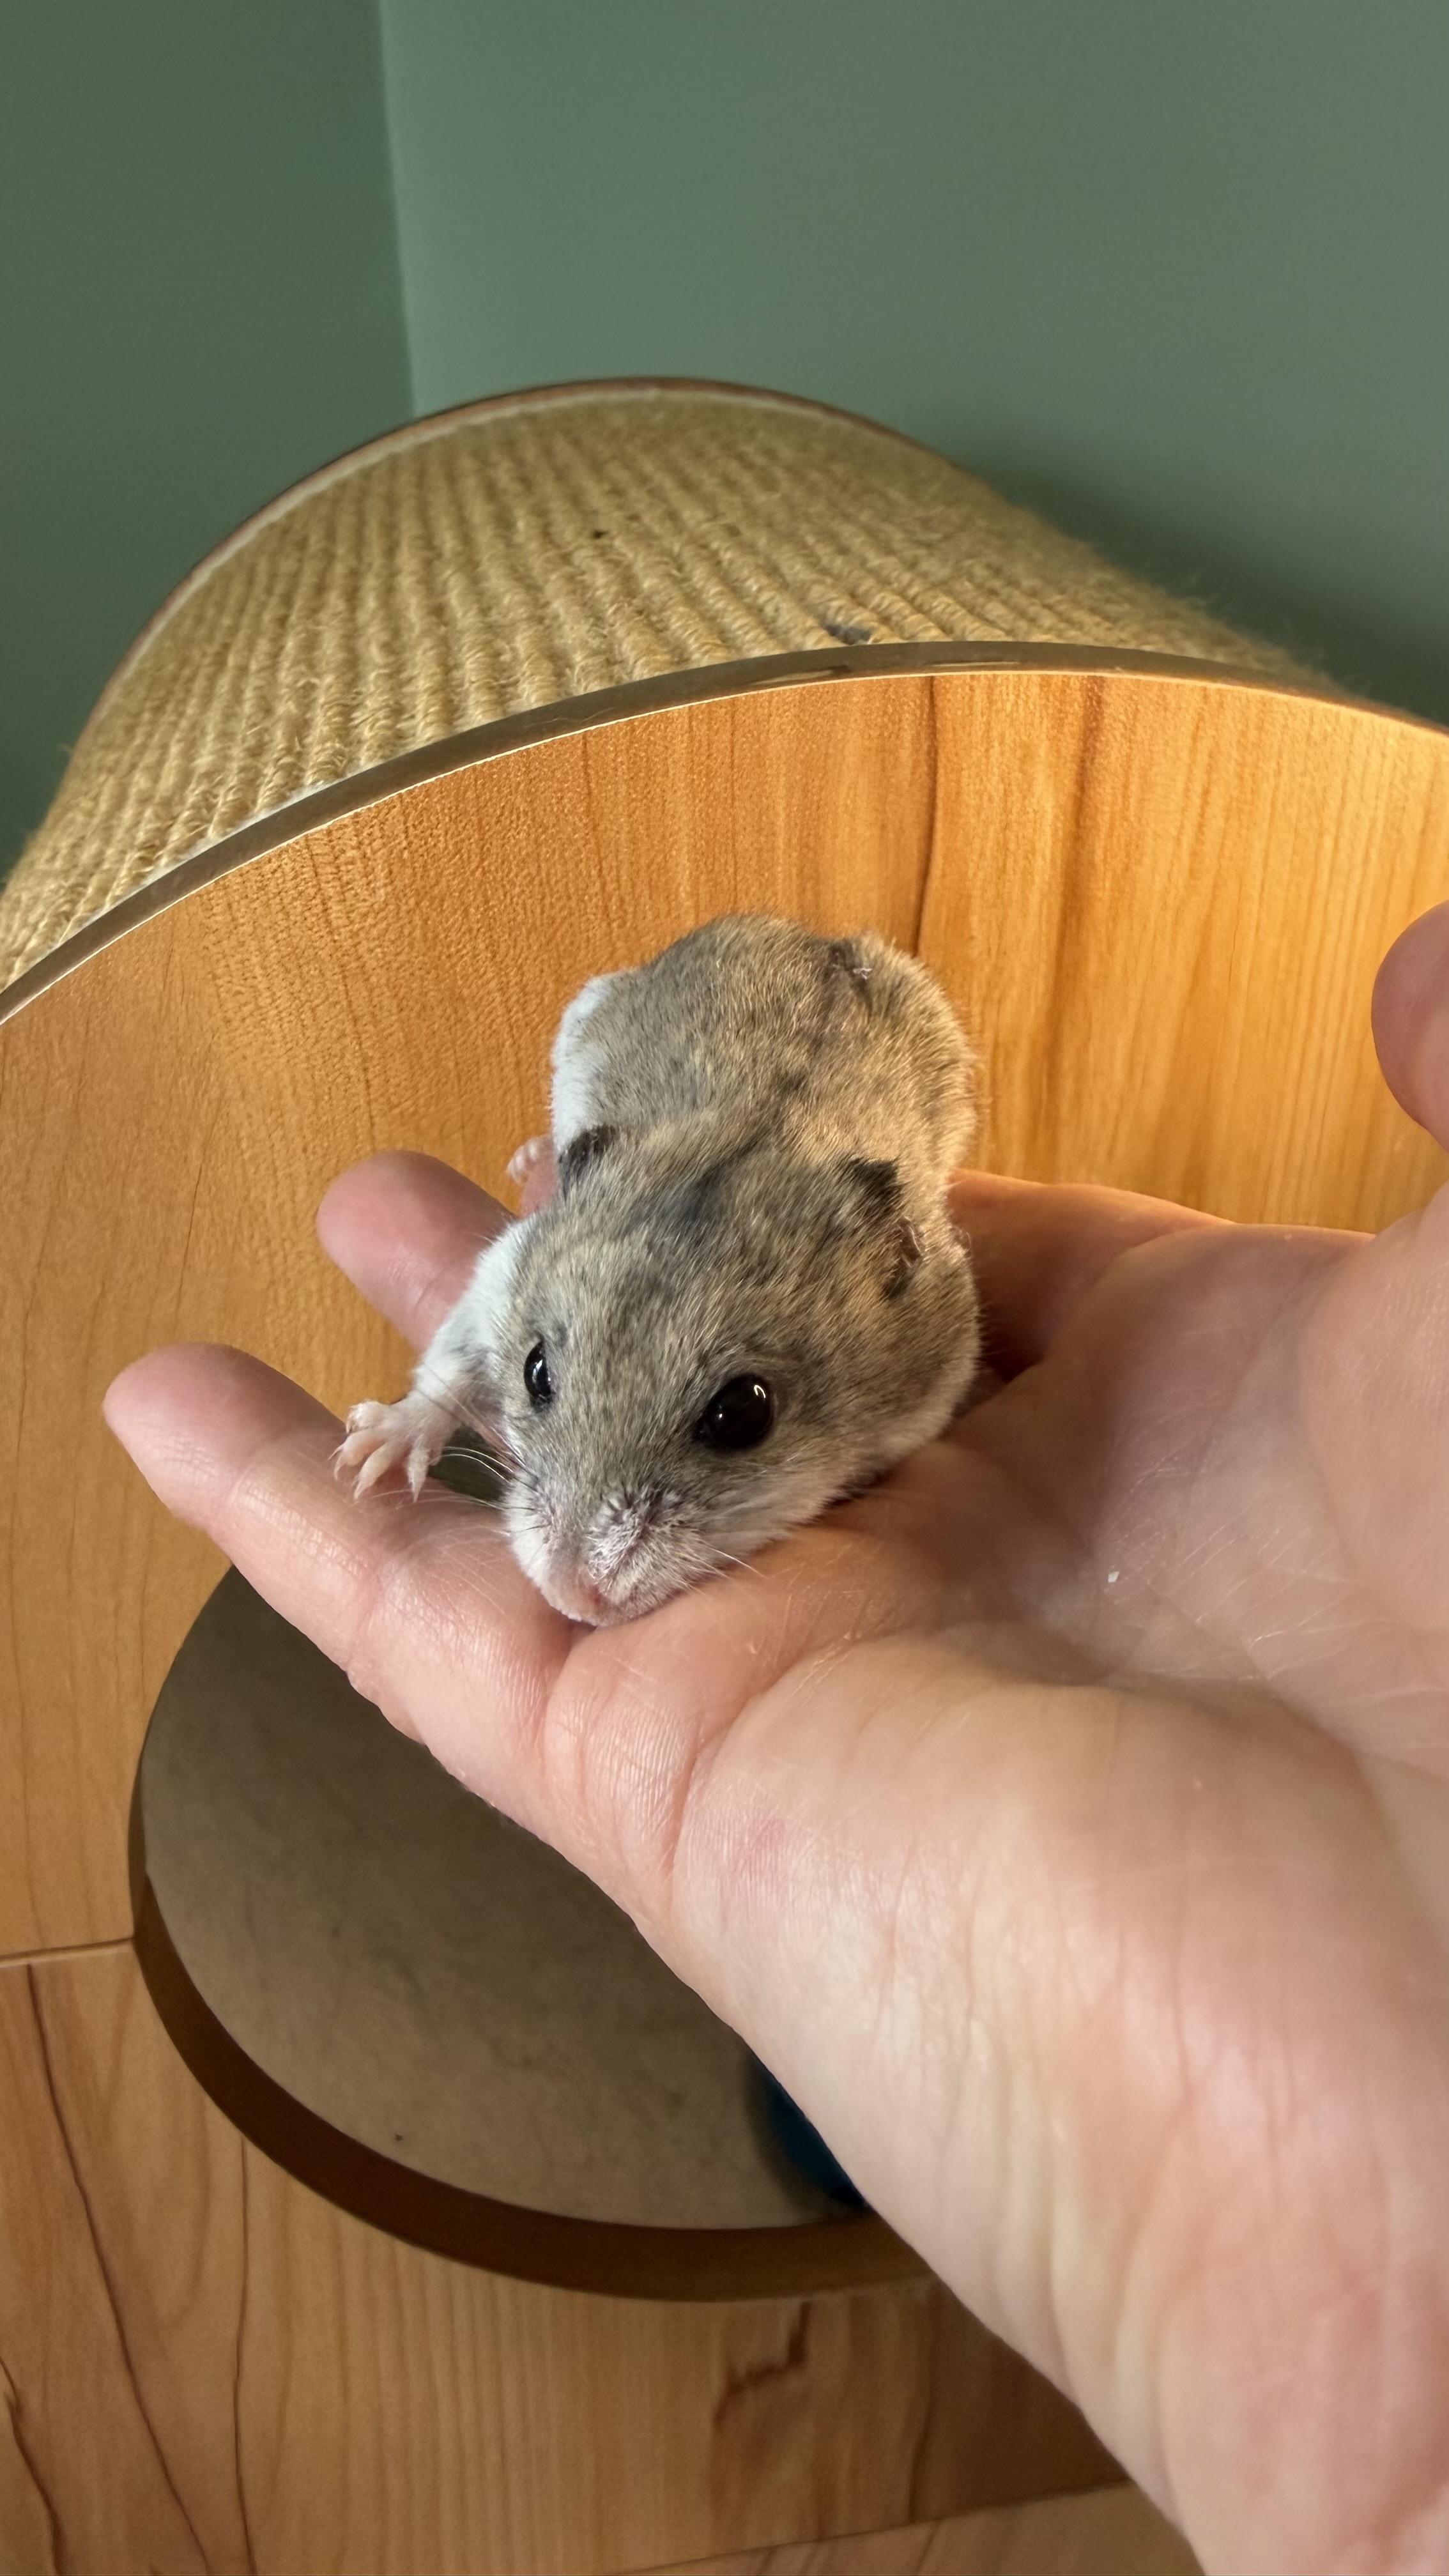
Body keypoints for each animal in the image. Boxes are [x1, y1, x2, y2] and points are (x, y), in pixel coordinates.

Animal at [340, 916, 980, 1624]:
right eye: (536, 1372)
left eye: (743, 1415)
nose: (569, 1596)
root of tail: (823, 940)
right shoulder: (500, 1276)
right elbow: (445, 1370)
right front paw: (365, 1459)